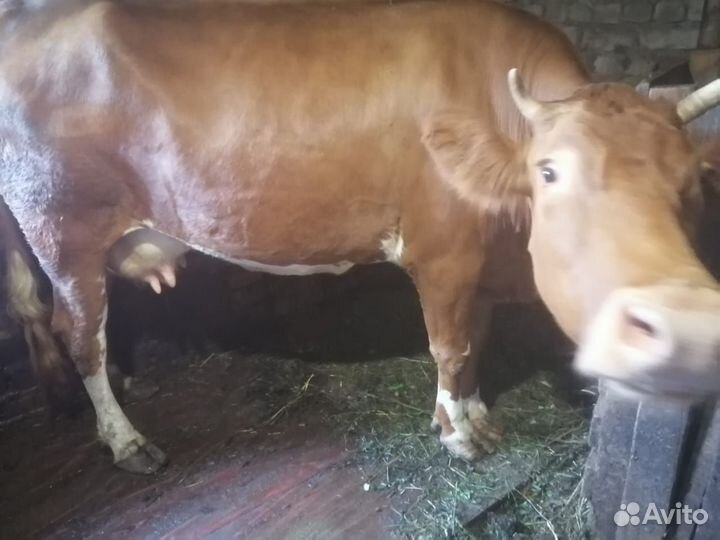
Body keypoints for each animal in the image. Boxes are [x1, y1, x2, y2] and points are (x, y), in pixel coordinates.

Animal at [2, 0, 720, 474]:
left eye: (692, 181)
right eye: (549, 173)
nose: (673, 323)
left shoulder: (477, 265)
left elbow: (476, 343)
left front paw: (474, 415)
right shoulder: (442, 254)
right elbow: (451, 346)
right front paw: (457, 435)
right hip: (62, 227)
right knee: (78, 332)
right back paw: (125, 440)